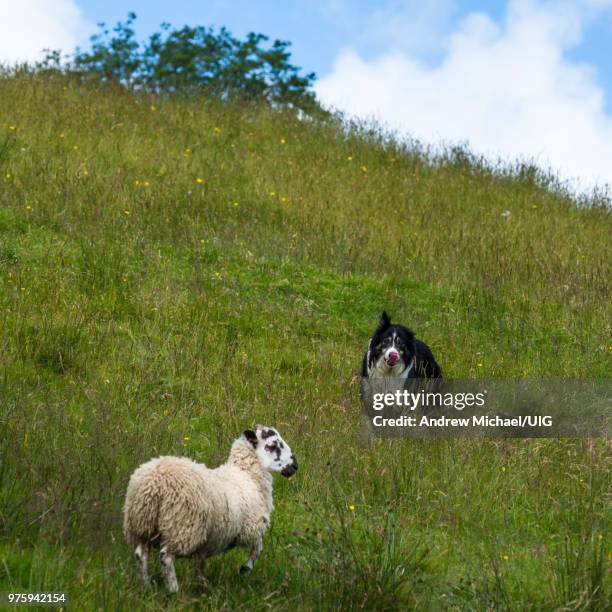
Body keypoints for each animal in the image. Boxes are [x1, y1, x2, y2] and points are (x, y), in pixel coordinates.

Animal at [120, 424, 298, 592]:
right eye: (273, 445)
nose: (295, 465)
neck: (248, 475)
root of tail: (155, 483)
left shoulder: (206, 544)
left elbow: (199, 565)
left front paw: (199, 583)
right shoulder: (251, 528)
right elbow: (258, 547)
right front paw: (245, 569)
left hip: (141, 525)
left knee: (141, 554)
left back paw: (145, 586)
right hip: (183, 528)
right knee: (166, 556)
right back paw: (173, 589)